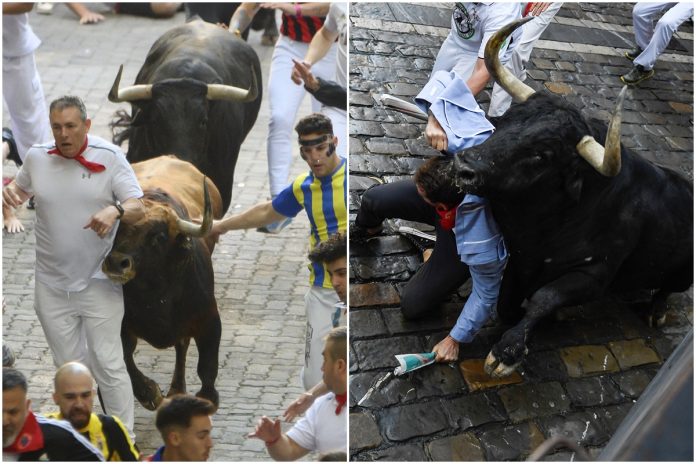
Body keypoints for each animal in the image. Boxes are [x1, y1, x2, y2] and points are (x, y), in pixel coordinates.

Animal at [103, 156, 224, 410]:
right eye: (117, 229)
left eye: (158, 236)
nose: (116, 262)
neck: (156, 292)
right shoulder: (121, 326)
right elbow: (125, 360)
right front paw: (149, 392)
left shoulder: (209, 318)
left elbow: (207, 365)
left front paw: (207, 397)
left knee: (182, 347)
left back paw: (177, 389)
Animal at [454, 18, 692, 376]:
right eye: (504, 122)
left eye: (543, 154)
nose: (463, 166)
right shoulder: (520, 257)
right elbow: (507, 301)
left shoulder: (594, 277)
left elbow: (545, 298)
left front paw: (507, 352)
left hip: (681, 277)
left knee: (666, 290)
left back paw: (656, 311)